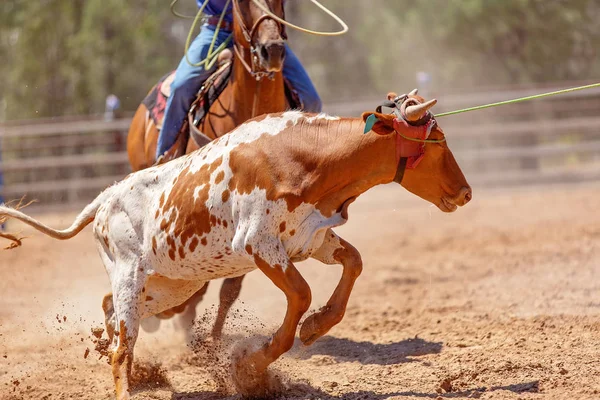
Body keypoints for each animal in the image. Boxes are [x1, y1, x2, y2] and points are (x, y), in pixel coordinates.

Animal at [0, 92, 472, 398]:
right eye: (436, 143)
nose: (466, 192)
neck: (305, 156)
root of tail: (104, 198)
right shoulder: (261, 245)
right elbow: (301, 294)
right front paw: (252, 364)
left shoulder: (313, 239)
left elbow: (352, 263)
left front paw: (317, 325)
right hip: (130, 276)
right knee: (121, 348)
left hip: (170, 285)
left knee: (111, 313)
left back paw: (110, 343)